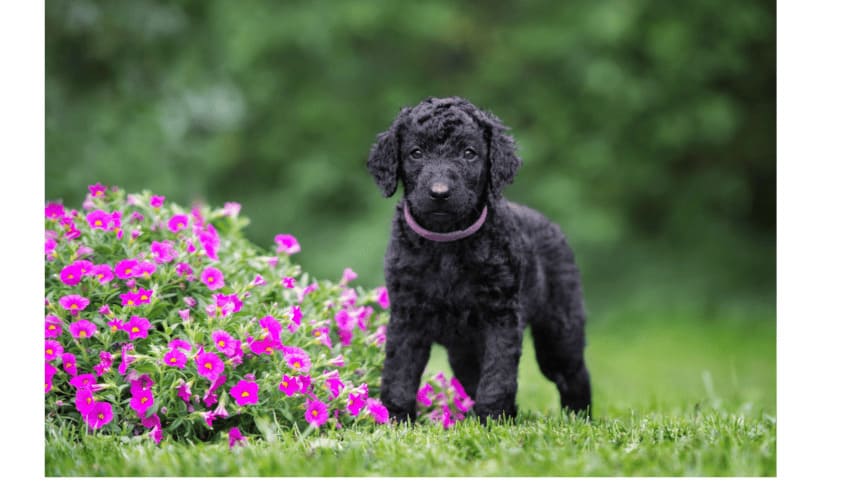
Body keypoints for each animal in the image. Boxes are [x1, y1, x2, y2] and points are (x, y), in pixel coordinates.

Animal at [362, 96, 592, 422]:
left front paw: (493, 419)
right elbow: (399, 372)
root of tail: (550, 224)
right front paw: (395, 418)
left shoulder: (501, 316)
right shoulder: (408, 315)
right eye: (416, 153)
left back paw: (579, 416)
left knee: (572, 374)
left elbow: (497, 374)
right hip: (463, 352)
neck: (447, 243)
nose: (439, 193)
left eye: (469, 153)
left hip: (559, 330)